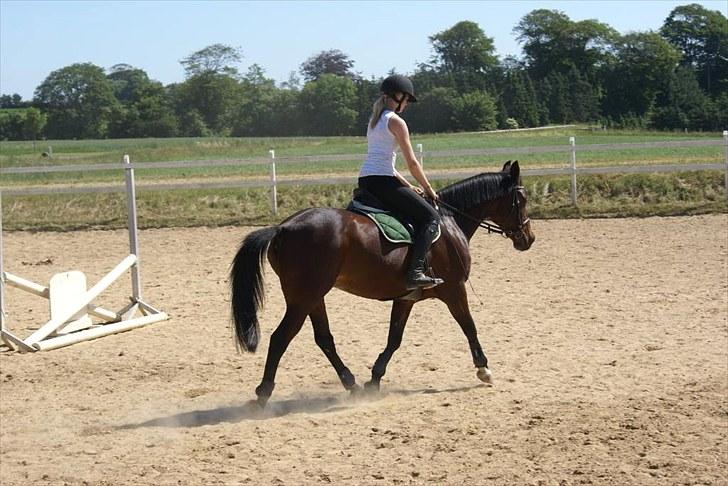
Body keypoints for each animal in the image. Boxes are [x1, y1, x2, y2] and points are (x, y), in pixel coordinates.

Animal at [232, 159, 536, 406]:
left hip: (313, 297)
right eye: (521, 199)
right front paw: (484, 369)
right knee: (281, 338)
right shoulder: (454, 289)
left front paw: (374, 379)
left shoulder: (406, 297)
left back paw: (351, 384)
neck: (450, 224)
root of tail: (283, 227)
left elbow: (394, 338)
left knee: (324, 339)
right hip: (304, 297)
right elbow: (469, 325)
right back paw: (263, 393)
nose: (529, 239)